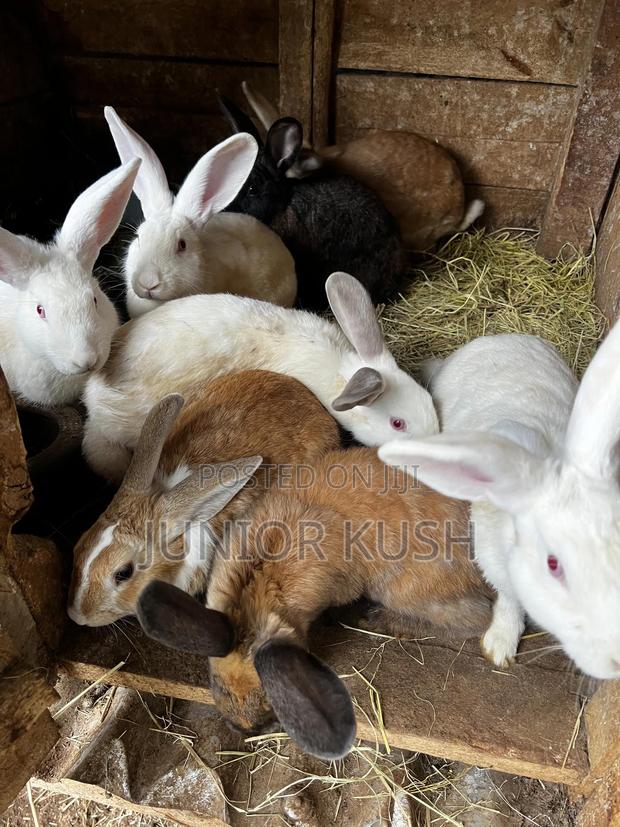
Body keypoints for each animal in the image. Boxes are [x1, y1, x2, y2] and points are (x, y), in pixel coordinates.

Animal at [135, 442, 491, 758]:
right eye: (215, 682)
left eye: (270, 703)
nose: (241, 728)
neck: (259, 583)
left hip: (402, 589)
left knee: (474, 620)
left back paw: (380, 619)